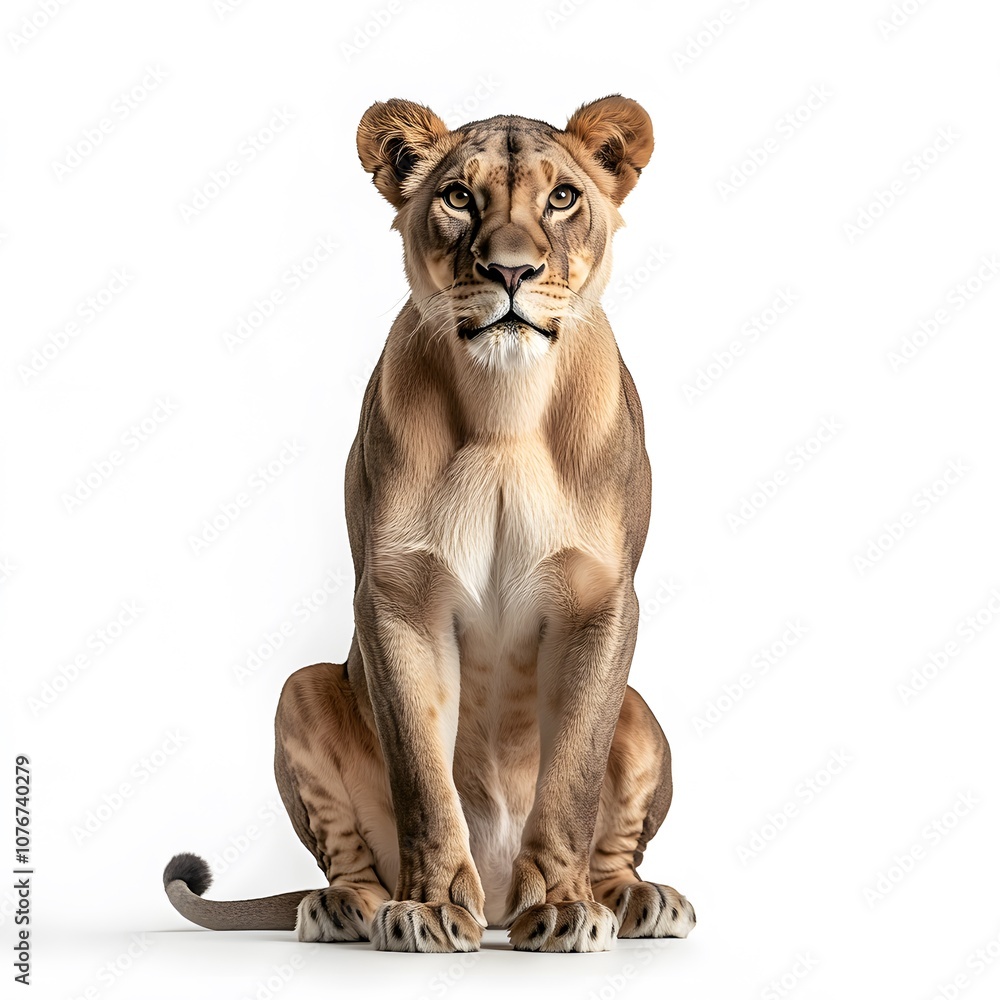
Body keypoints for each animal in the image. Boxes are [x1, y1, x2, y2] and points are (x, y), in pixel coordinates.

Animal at [163, 95, 695, 953]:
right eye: (458, 198)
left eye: (561, 198)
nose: (510, 270)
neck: (505, 408)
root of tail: (500, 906)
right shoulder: (396, 595)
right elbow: (419, 769)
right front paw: (430, 907)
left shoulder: (602, 600)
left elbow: (574, 776)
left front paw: (565, 907)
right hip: (301, 687)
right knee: (347, 856)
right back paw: (348, 907)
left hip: (642, 711)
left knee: (614, 841)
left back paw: (633, 899)